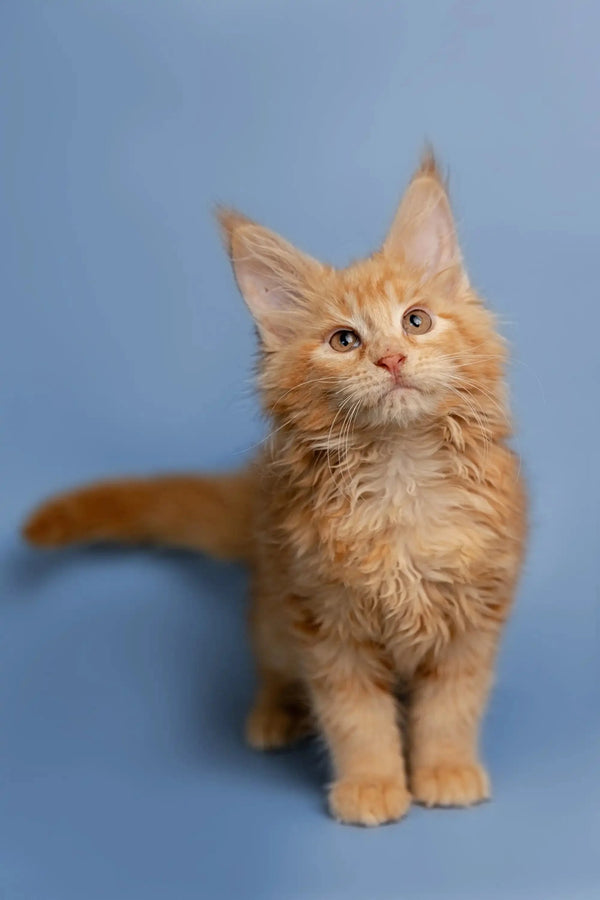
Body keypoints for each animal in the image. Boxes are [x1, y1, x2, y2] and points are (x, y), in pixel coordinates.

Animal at [25, 153, 528, 824]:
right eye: (345, 340)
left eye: (415, 321)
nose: (392, 359)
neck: (400, 473)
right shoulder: (325, 621)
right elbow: (356, 717)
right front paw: (372, 784)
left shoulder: (474, 614)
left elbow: (452, 705)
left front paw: (445, 770)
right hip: (274, 614)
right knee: (272, 670)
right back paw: (273, 715)